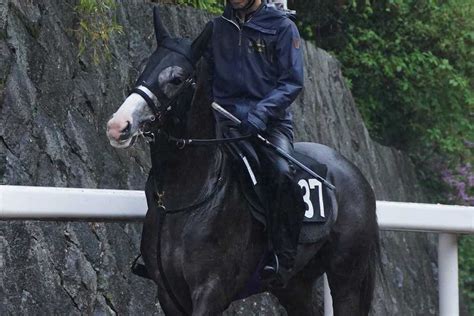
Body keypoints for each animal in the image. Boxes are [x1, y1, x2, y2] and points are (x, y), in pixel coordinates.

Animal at [105, 8, 380, 316]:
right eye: (145, 66)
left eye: (177, 78)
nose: (119, 125)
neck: (187, 197)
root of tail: (353, 172)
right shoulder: (169, 294)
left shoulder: (210, 291)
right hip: (294, 285)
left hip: (346, 279)